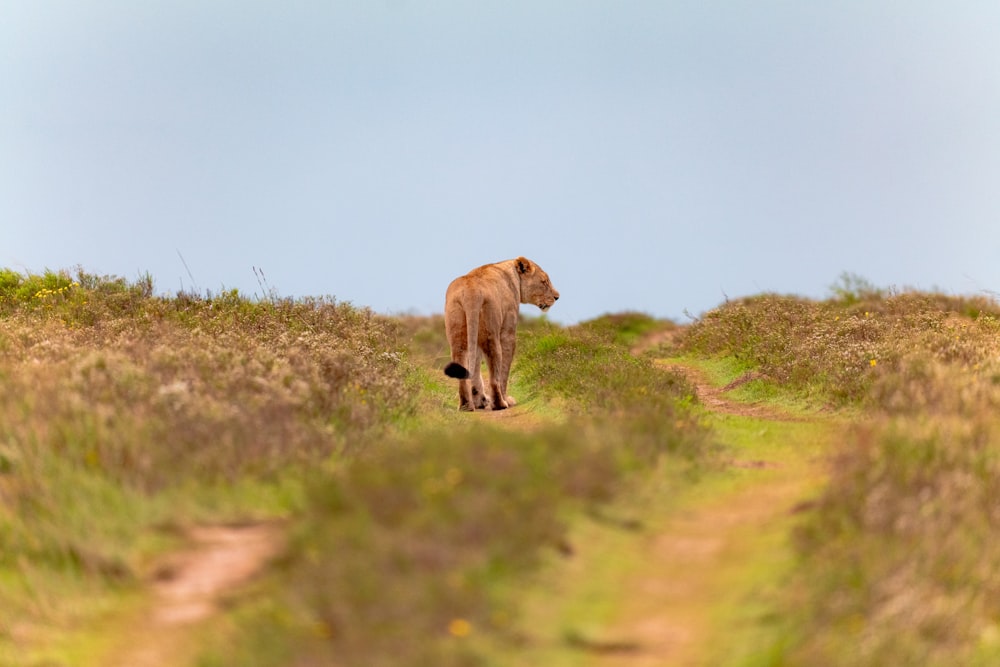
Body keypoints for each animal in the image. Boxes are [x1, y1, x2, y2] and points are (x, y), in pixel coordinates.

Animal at [448, 258, 564, 410]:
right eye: (544, 282)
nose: (557, 297)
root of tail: (470, 291)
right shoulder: (508, 333)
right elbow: (505, 369)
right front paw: (506, 399)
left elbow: (477, 363)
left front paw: (479, 401)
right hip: (491, 334)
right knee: (494, 375)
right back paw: (500, 403)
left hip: (458, 335)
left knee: (461, 364)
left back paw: (466, 405)